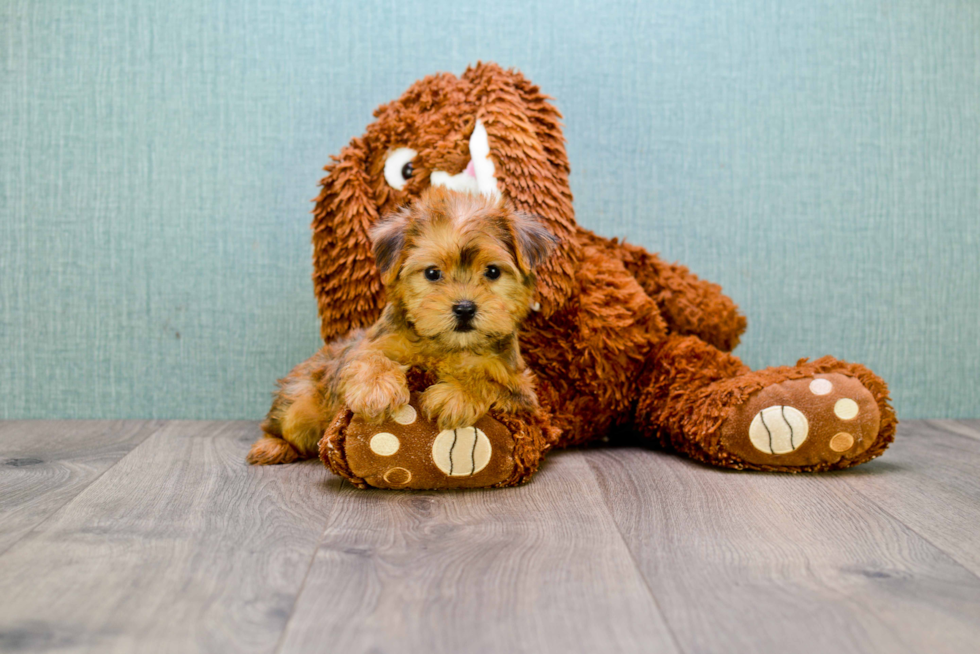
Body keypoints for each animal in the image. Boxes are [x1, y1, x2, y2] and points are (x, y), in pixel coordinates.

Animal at [249, 187, 556, 468]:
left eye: (492, 271)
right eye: (432, 273)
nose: (465, 308)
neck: (447, 345)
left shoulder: (522, 391)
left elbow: (492, 380)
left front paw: (456, 395)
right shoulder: (370, 343)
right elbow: (366, 357)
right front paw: (376, 388)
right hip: (300, 406)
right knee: (284, 425)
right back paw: (273, 446)